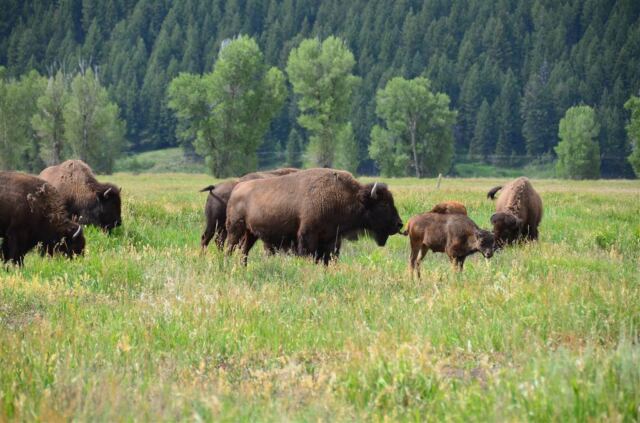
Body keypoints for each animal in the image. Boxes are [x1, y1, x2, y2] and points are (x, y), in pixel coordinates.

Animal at [225, 168, 403, 265]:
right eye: (383, 204)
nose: (399, 224)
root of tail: (237, 188)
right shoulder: (308, 236)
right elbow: (309, 255)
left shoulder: (331, 240)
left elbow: (328, 259)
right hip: (235, 230)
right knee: (230, 248)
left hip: (251, 234)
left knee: (244, 252)